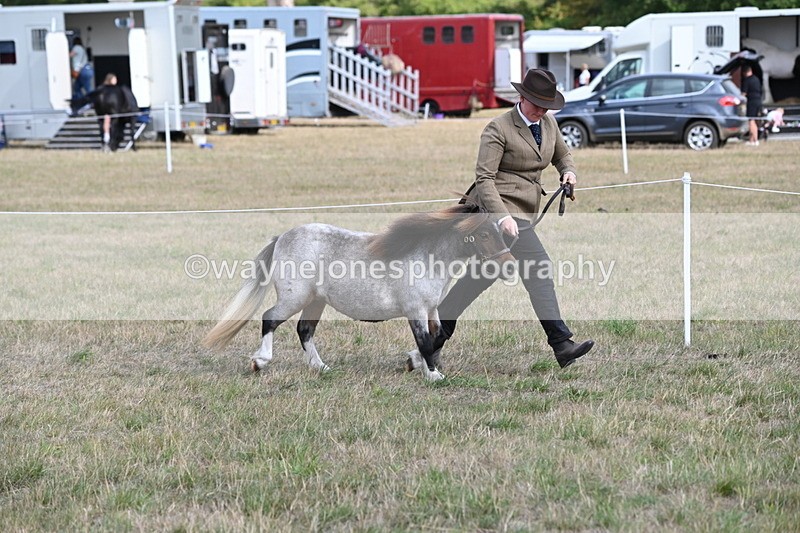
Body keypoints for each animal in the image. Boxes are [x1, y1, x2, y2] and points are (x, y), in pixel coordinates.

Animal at [203, 204, 516, 382]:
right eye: (484, 234)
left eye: (500, 231)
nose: (511, 267)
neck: (427, 257)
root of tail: (282, 238)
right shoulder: (414, 310)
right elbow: (426, 341)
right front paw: (433, 374)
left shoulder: (431, 309)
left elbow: (438, 336)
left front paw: (418, 365)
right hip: (295, 298)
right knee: (270, 318)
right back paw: (260, 362)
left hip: (315, 301)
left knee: (304, 330)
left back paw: (320, 367)